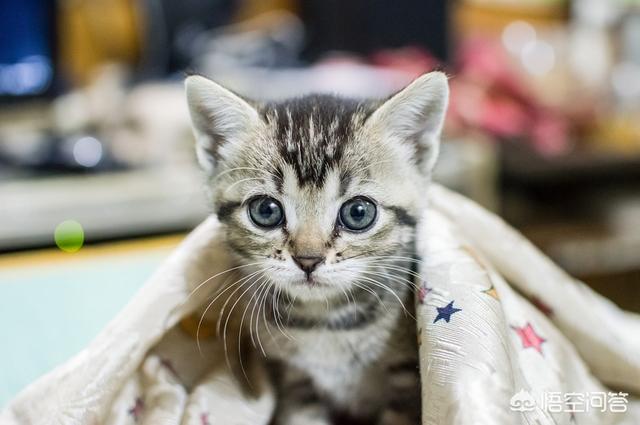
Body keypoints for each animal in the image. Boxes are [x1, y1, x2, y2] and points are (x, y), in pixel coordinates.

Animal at [182, 73, 448, 424]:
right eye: (265, 210)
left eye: (358, 212)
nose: (308, 260)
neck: (324, 321)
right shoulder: (295, 380)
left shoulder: (407, 385)